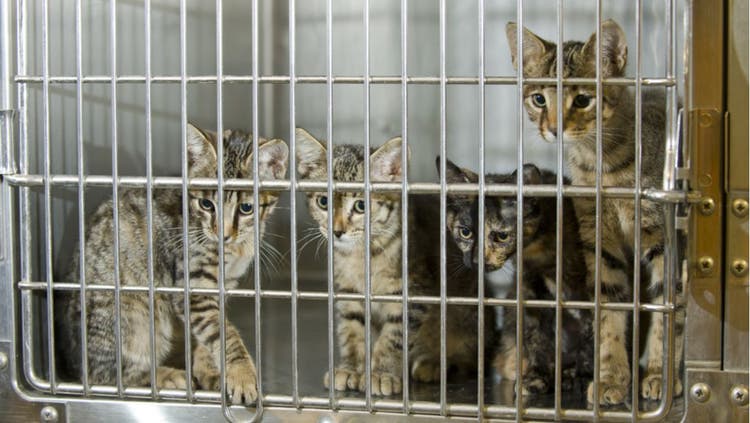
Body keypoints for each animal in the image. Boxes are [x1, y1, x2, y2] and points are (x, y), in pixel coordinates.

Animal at [55, 124, 290, 406]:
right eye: (206, 204)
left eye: (246, 208)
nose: (222, 234)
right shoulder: (193, 284)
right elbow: (222, 332)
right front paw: (241, 373)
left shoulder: (221, 287)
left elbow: (206, 335)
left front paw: (211, 369)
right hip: (132, 316)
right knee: (108, 375)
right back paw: (166, 376)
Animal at [444, 161, 596, 398]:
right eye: (466, 232)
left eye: (502, 236)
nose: (477, 260)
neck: (540, 254)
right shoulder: (528, 290)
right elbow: (536, 337)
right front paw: (535, 377)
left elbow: (592, 336)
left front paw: (586, 376)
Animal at [506, 19, 688, 404]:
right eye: (539, 98)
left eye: (583, 100)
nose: (554, 128)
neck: (602, 164)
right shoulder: (600, 241)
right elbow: (609, 307)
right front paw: (612, 377)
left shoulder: (665, 239)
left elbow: (668, 306)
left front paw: (659, 375)